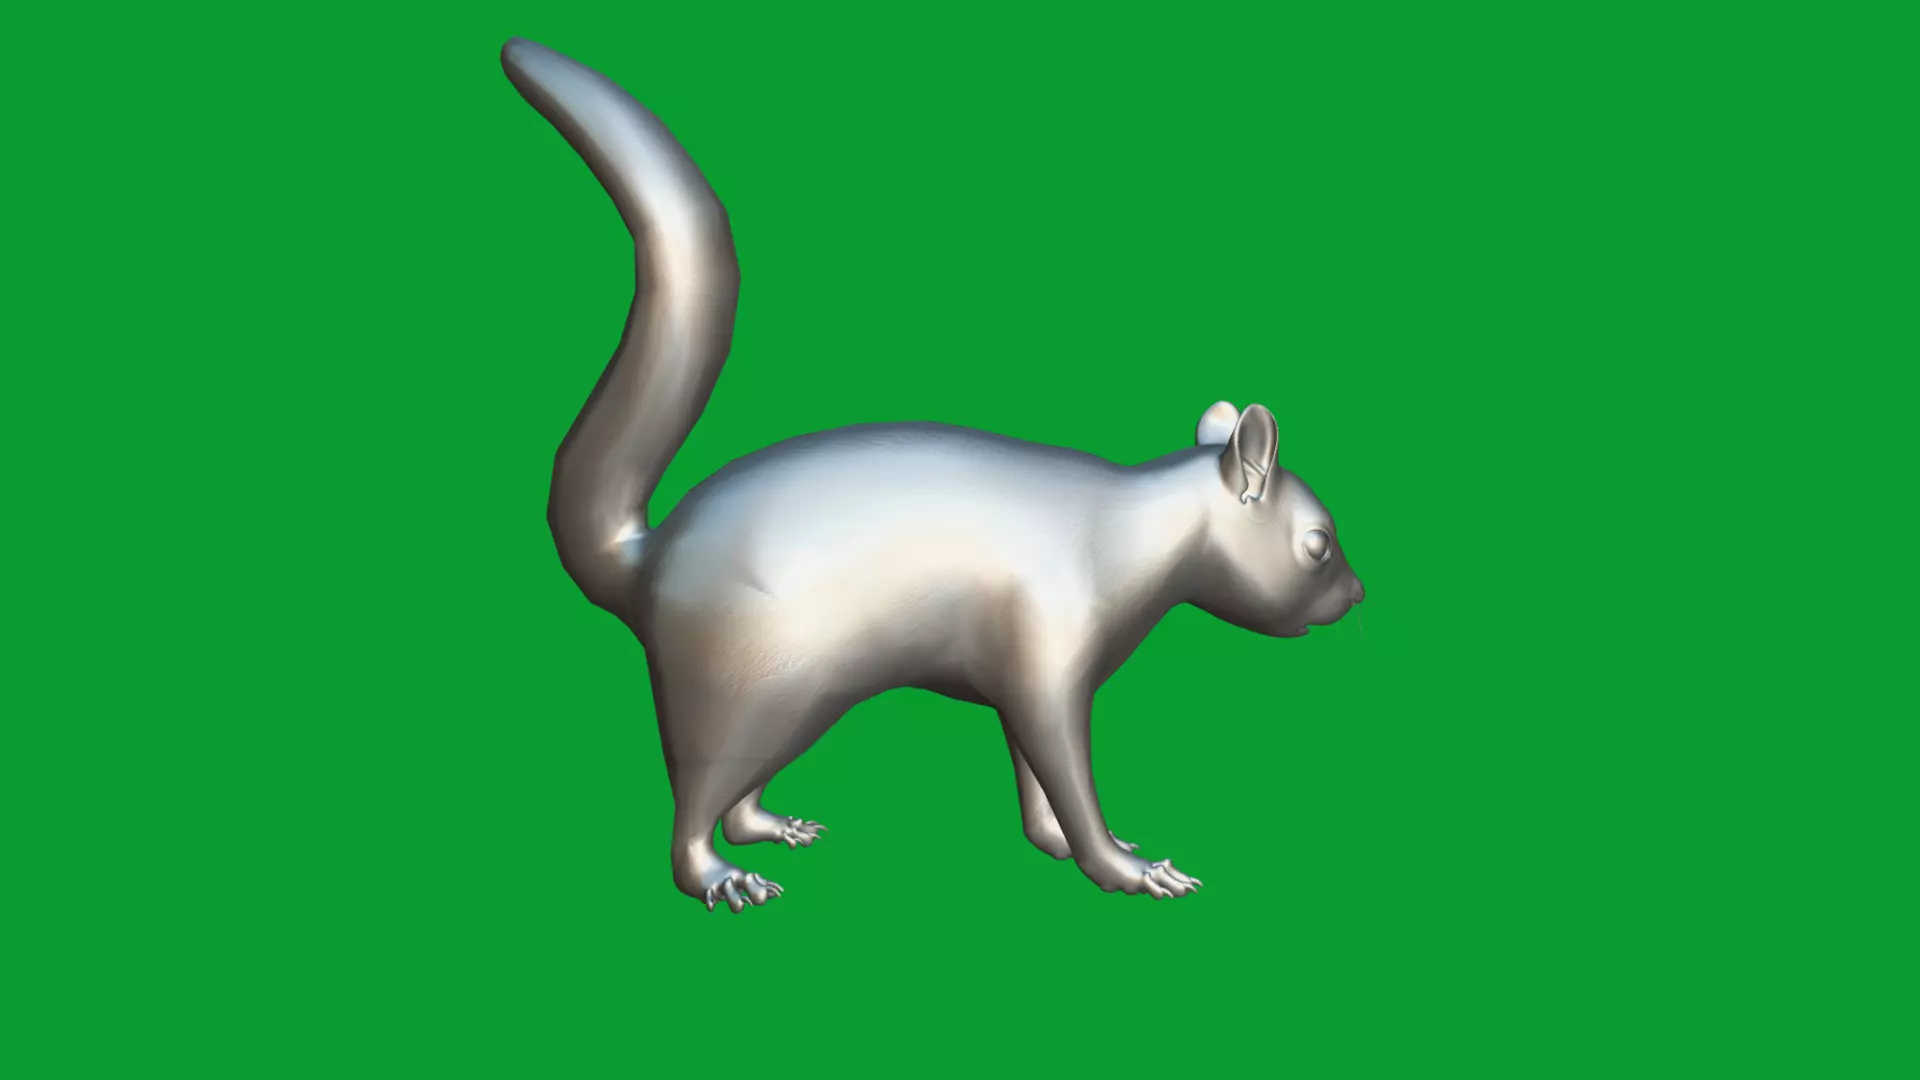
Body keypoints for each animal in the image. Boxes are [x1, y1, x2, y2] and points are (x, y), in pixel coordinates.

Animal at [501, 38, 1365, 913]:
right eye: (1319, 544)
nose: (1358, 595)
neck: (1126, 534)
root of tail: (648, 558)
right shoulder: (1048, 655)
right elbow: (1065, 770)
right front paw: (1125, 864)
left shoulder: (1021, 675)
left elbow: (1035, 785)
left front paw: (1070, 844)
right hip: (739, 695)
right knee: (692, 812)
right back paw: (718, 873)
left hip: (798, 700)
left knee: (736, 799)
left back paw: (771, 825)